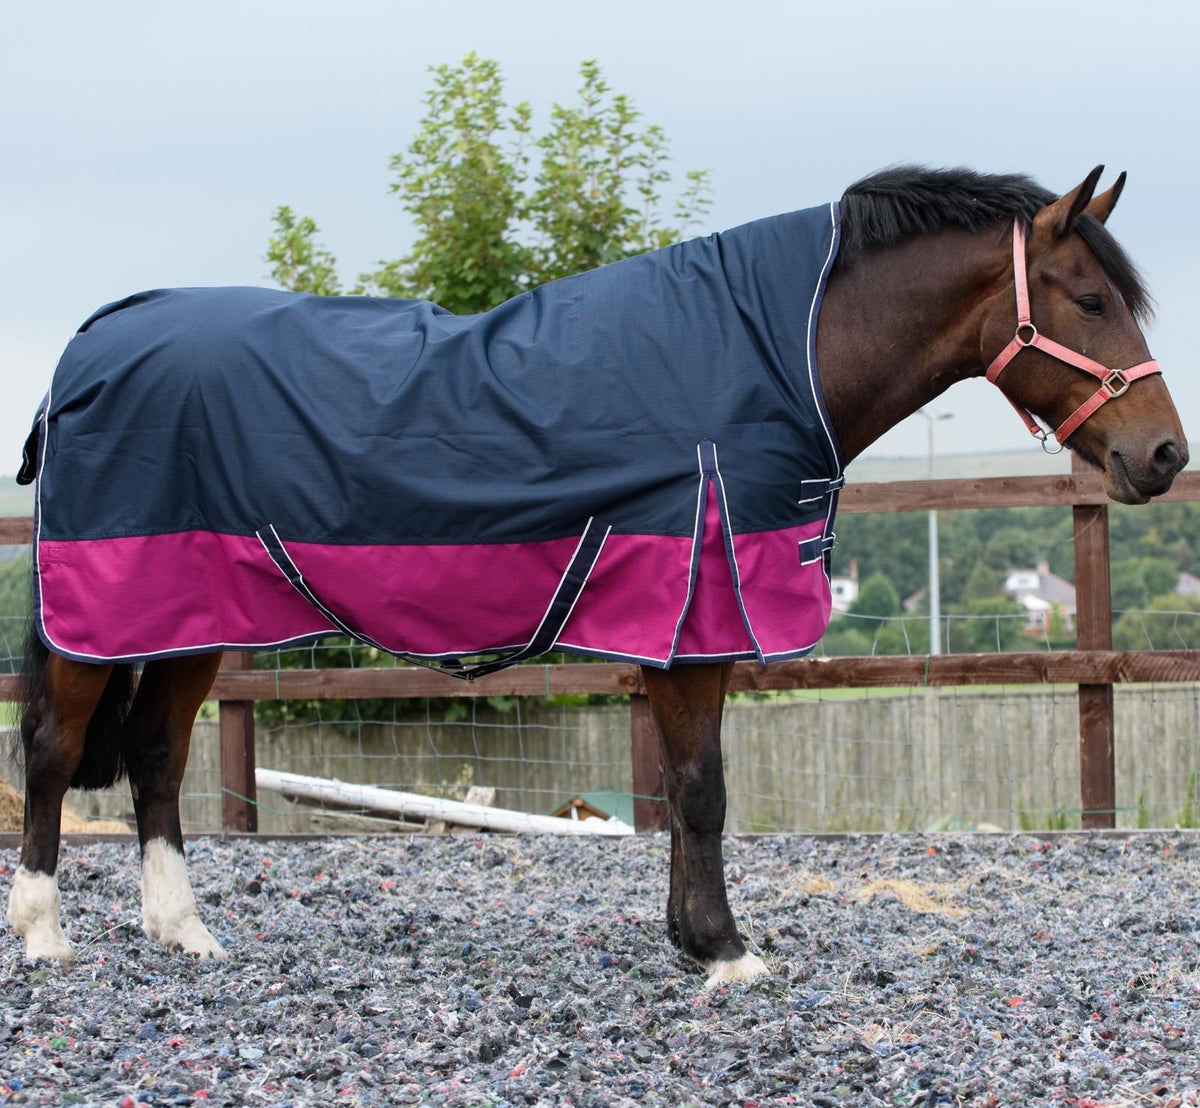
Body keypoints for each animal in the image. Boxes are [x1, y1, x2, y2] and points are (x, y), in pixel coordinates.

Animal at [6, 165, 1187, 988]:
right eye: (1089, 298)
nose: (1166, 455)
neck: (766, 355)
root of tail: (91, 344)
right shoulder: (693, 624)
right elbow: (703, 788)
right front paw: (724, 950)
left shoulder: (684, 629)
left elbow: (683, 787)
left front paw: (690, 939)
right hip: (100, 621)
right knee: (57, 749)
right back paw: (45, 935)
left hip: (185, 618)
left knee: (157, 755)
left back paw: (184, 930)